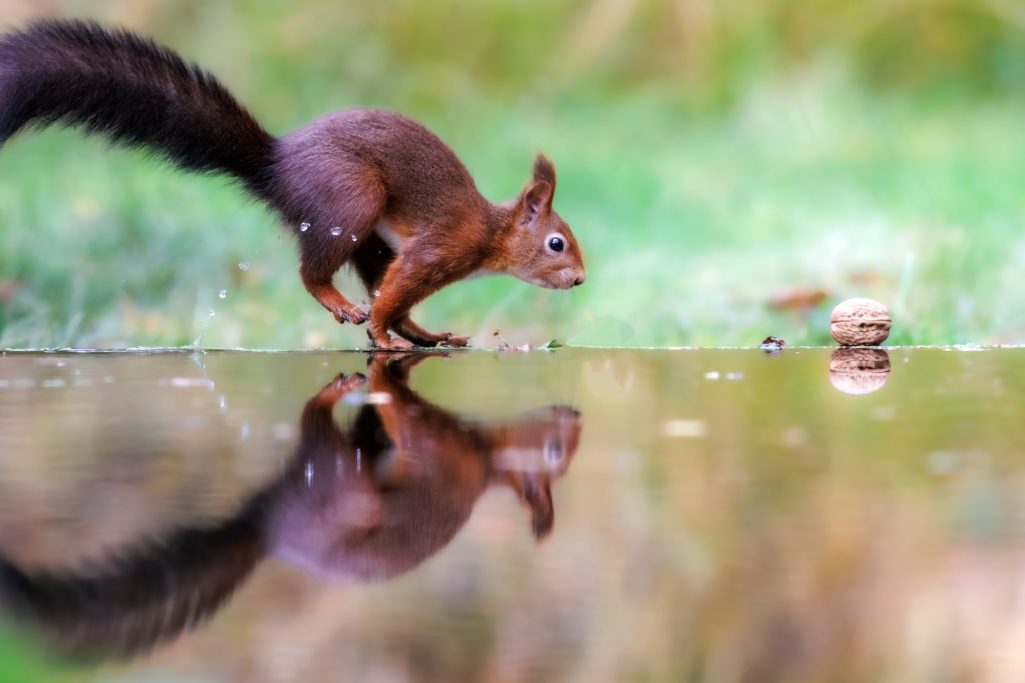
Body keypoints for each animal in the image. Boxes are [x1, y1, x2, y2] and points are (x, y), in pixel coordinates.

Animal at [0, 19, 586, 350]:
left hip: (370, 238)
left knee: (376, 284)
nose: (581, 280)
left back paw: (422, 334)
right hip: (350, 202)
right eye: (556, 242)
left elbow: (391, 298)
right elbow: (394, 294)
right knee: (316, 274)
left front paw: (401, 332)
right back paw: (344, 306)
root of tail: (276, 164)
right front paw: (378, 334)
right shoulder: (438, 248)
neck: (489, 234)